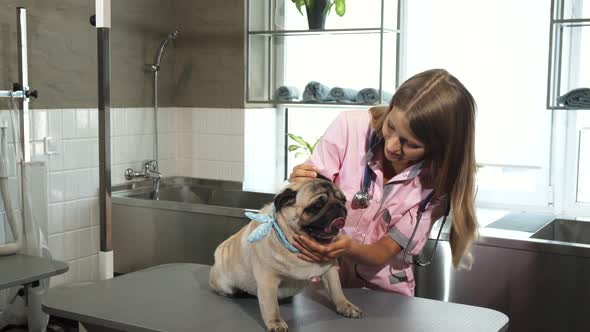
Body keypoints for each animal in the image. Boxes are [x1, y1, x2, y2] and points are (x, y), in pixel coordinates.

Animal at [210, 178, 364, 330]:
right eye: (317, 205)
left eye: (343, 200)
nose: (338, 206)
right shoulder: (268, 280)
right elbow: (271, 305)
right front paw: (275, 322)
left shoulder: (330, 271)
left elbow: (337, 291)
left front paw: (346, 306)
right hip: (224, 283)